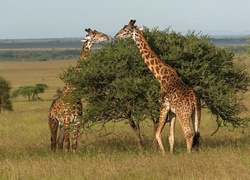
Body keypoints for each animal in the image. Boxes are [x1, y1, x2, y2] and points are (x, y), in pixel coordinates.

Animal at [115, 19, 201, 155]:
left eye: (125, 30)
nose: (116, 36)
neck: (161, 76)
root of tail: (194, 100)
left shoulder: (164, 106)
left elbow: (157, 133)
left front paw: (164, 154)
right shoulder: (172, 111)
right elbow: (171, 136)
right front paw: (171, 154)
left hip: (184, 114)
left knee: (188, 134)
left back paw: (188, 155)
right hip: (196, 114)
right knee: (197, 134)